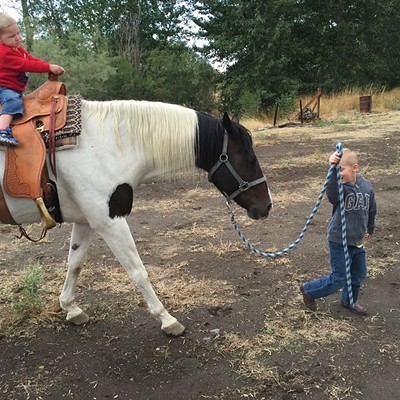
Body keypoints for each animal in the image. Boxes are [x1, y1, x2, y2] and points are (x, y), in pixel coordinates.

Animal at [0, 98, 272, 336]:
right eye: (250, 159)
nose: (267, 206)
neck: (105, 145)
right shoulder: (110, 222)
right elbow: (138, 271)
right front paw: (167, 319)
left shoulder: (86, 221)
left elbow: (75, 264)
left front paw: (71, 308)